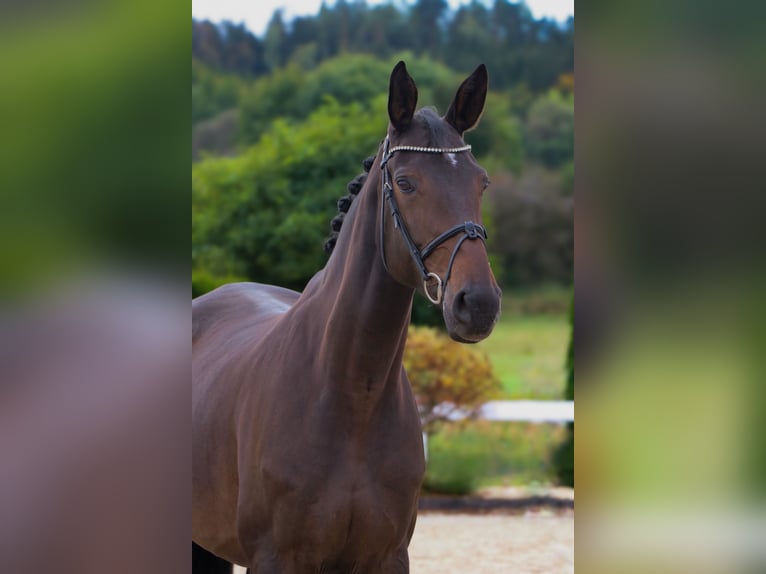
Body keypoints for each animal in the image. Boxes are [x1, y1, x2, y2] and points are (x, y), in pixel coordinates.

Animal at [195, 60, 500, 572]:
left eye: (482, 182)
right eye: (406, 183)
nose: (478, 304)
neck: (353, 394)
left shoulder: (387, 557)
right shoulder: (275, 558)